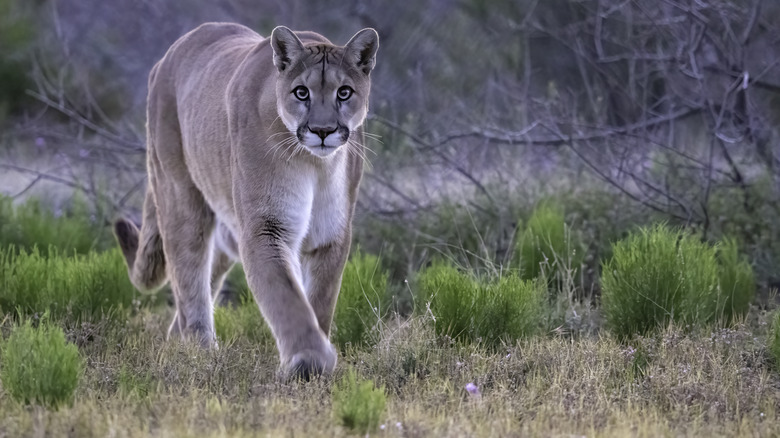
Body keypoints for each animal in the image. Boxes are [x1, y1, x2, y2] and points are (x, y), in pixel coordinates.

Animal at [112, 24, 378, 378]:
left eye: (344, 92)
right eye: (301, 93)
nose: (323, 131)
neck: (314, 163)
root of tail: (171, 52)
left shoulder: (330, 234)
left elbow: (320, 300)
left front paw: (315, 364)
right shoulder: (266, 228)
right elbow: (287, 297)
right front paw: (309, 361)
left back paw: (178, 341)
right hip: (180, 197)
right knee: (189, 278)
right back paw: (199, 351)